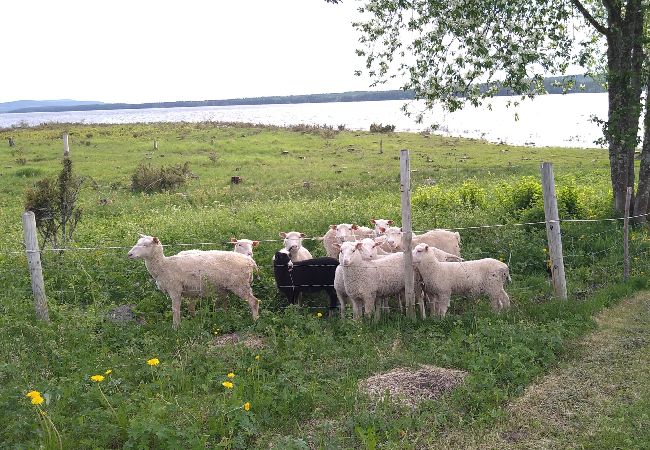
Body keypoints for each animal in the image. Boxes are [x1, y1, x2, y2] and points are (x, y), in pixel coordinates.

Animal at [126, 234, 258, 328]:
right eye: (137, 243)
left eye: (145, 245)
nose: (129, 254)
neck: (164, 266)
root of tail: (250, 261)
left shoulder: (175, 290)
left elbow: (175, 309)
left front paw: (176, 327)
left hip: (239, 284)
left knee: (254, 301)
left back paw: (255, 320)